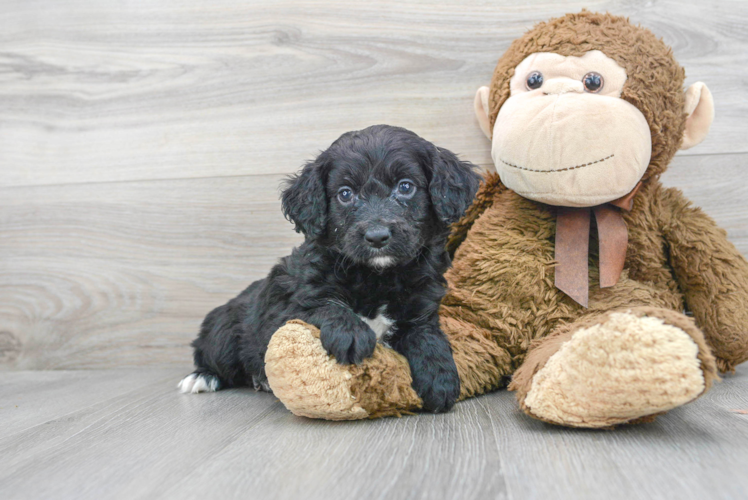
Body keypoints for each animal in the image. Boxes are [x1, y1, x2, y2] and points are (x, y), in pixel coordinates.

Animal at [178, 126, 480, 414]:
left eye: (405, 187)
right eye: (345, 194)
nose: (377, 237)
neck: (377, 277)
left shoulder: (420, 306)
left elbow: (426, 334)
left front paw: (440, 378)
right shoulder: (288, 304)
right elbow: (321, 306)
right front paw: (351, 333)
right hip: (224, 334)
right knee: (210, 355)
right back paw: (202, 377)